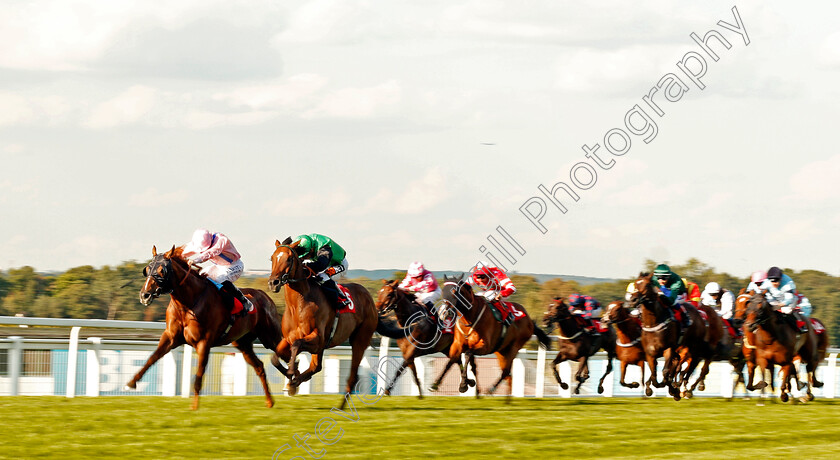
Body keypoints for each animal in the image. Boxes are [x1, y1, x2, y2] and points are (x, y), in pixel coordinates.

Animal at [126, 244, 280, 410]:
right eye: (147, 269)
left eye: (163, 271)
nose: (145, 295)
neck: (188, 303)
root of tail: (266, 296)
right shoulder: (170, 337)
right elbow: (152, 358)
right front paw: (132, 382)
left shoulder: (203, 342)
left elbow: (198, 376)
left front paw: (194, 407)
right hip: (243, 343)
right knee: (259, 366)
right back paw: (270, 401)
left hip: (270, 337)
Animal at [266, 239, 404, 408]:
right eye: (272, 258)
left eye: (289, 259)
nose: (273, 282)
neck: (299, 304)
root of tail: (372, 303)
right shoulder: (288, 338)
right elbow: (275, 357)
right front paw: (293, 375)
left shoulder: (318, 339)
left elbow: (296, 345)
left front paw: (292, 374)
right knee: (316, 366)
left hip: (359, 340)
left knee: (352, 376)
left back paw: (341, 407)